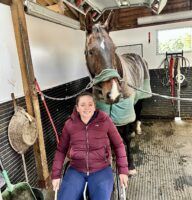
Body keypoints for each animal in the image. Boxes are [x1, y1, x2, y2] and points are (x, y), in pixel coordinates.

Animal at [84, 11, 152, 174]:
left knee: (137, 112)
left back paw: (136, 129)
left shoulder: (124, 107)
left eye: (114, 49)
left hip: (140, 96)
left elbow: (126, 137)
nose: (113, 94)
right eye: (90, 51)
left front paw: (130, 166)